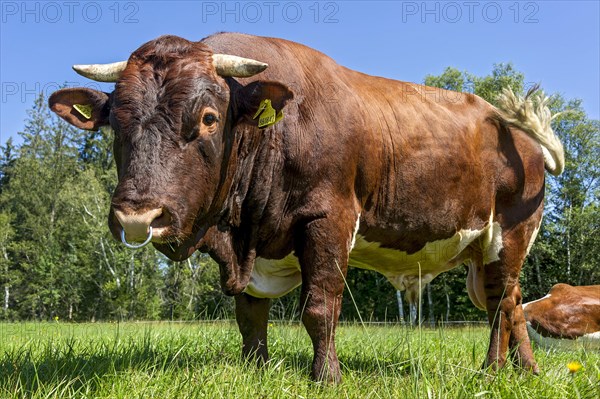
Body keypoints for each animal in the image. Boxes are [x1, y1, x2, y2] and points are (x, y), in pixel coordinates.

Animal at [49, 32, 564, 382]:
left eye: (209, 118)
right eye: (115, 122)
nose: (137, 218)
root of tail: (514, 131)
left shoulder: (328, 219)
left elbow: (319, 307)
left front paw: (327, 376)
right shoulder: (250, 242)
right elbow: (249, 316)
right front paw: (255, 369)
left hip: (509, 233)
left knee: (502, 304)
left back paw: (509, 370)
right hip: (486, 248)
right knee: (508, 303)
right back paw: (511, 370)